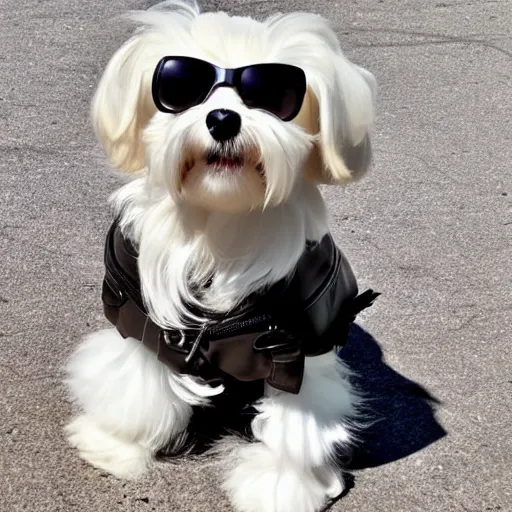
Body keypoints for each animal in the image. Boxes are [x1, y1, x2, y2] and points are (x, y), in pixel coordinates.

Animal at [63, 2, 376, 510]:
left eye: (275, 94)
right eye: (179, 85)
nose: (223, 118)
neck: (218, 221)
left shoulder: (293, 348)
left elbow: (295, 425)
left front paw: (282, 487)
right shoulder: (141, 317)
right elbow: (135, 388)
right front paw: (115, 446)